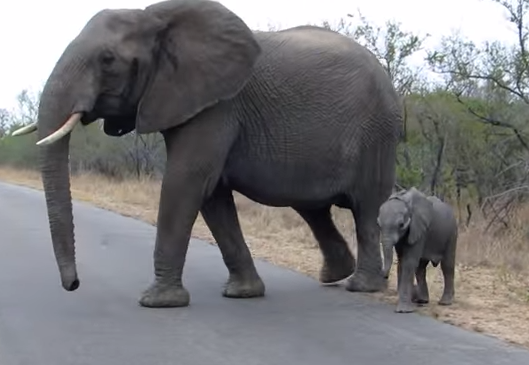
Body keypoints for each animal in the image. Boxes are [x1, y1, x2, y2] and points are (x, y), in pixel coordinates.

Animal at [12, 0, 400, 308]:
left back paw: (360, 286)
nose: (74, 284)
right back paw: (334, 275)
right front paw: (243, 293)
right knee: (312, 208)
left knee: (366, 208)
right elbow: (213, 195)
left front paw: (157, 302)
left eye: (107, 60)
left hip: (377, 134)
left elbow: (187, 180)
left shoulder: (218, 105)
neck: (155, 18)